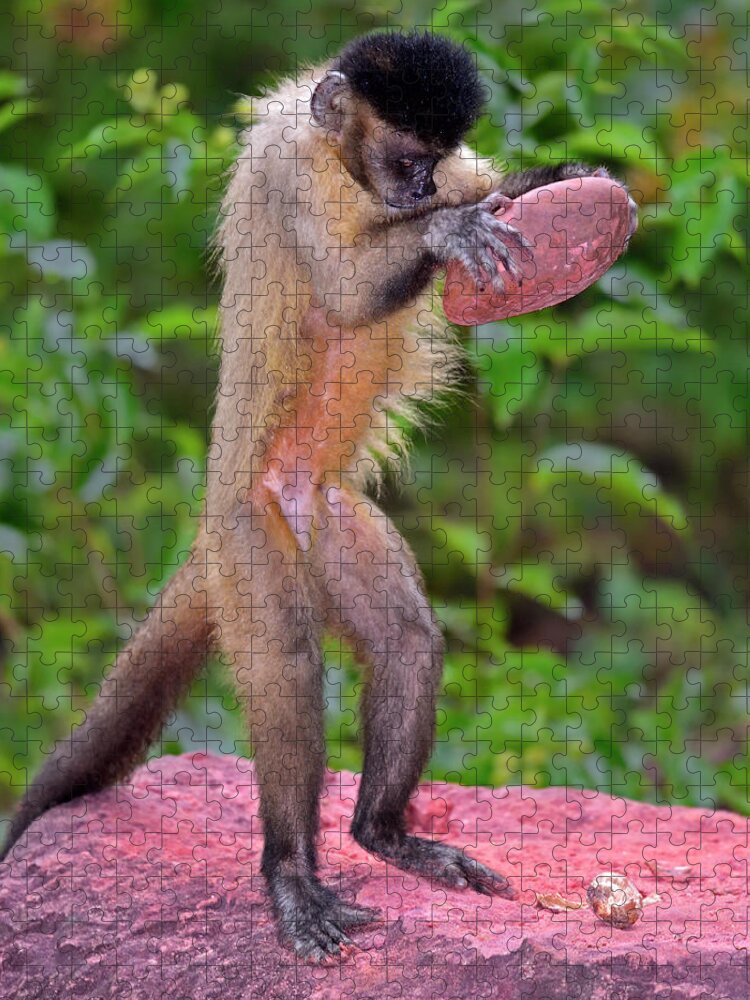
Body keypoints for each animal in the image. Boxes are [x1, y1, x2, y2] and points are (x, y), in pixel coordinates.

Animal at [0, 29, 636, 960]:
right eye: (406, 160)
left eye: (431, 162)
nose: (421, 191)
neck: (342, 161)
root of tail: (237, 509)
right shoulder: (287, 165)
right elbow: (341, 286)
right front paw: (448, 228)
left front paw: (536, 183)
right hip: (246, 535)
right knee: (289, 671)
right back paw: (291, 870)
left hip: (326, 516)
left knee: (407, 640)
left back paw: (382, 833)